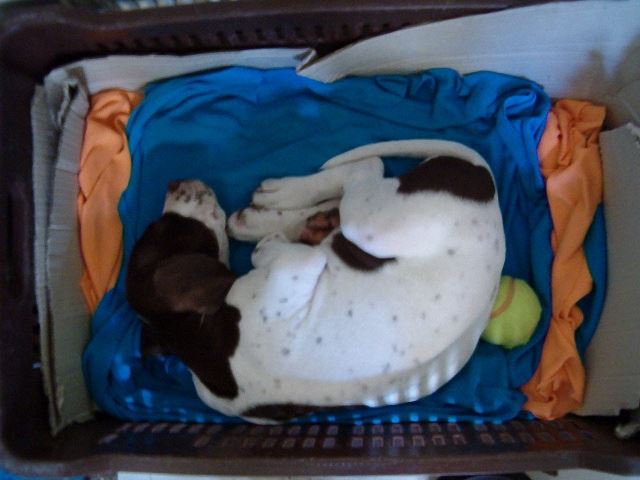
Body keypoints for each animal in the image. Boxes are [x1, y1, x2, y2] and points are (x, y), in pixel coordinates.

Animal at [127, 140, 506, 423]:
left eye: (160, 228)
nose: (173, 183)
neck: (203, 346)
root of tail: (484, 180)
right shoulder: (296, 265)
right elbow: (267, 250)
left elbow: (265, 251)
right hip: (371, 225)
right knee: (366, 170)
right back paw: (280, 210)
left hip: (367, 223)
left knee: (364, 172)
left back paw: (278, 203)